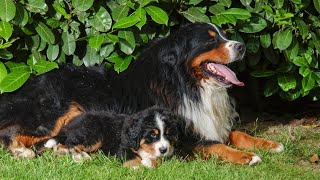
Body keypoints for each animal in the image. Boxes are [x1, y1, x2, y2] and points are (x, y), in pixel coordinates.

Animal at [41, 106, 179, 168]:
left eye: (168, 133)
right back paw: (80, 156)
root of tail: (71, 124)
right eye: (153, 134)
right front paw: (137, 167)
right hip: (93, 134)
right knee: (70, 142)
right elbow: (132, 158)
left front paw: (149, 163)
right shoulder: (123, 147)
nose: (163, 149)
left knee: (62, 144)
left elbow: (158, 160)